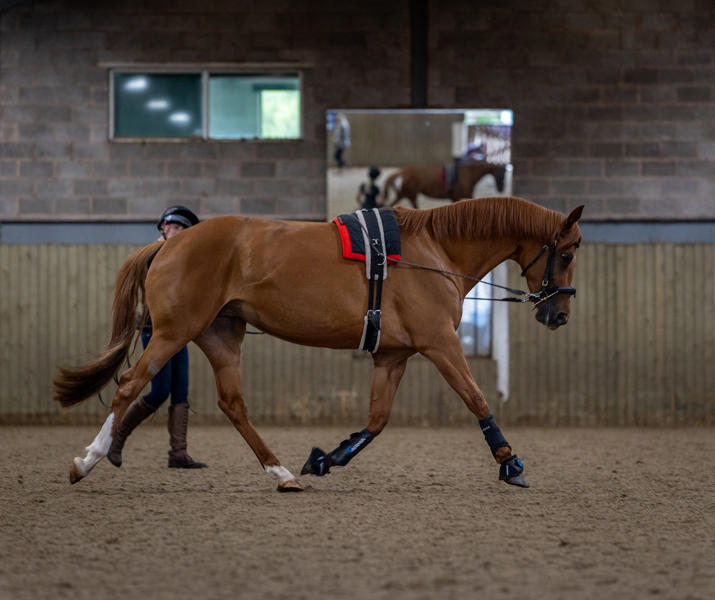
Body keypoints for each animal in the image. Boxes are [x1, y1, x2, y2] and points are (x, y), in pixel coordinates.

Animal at [54, 197, 580, 492]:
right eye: (568, 252)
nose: (558, 314)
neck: (434, 251)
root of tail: (170, 243)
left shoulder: (394, 355)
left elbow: (376, 421)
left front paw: (326, 459)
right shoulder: (440, 344)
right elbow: (477, 398)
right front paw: (510, 463)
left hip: (220, 336)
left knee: (232, 404)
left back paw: (281, 473)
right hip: (171, 333)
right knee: (129, 385)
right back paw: (87, 461)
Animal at [380, 162, 510, 209]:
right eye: (502, 173)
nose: (501, 188)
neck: (468, 173)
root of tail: (401, 173)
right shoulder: (461, 197)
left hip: (404, 195)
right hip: (410, 195)